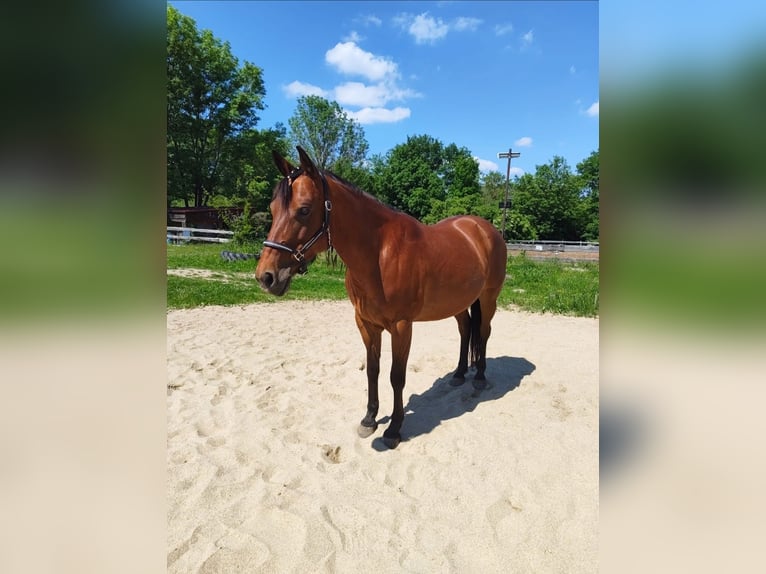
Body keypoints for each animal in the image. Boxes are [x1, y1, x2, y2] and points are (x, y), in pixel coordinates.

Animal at [256, 146, 508, 449]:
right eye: (272, 210)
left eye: (304, 210)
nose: (266, 277)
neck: (379, 254)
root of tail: (484, 229)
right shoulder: (366, 324)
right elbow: (373, 370)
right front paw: (369, 419)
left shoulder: (401, 326)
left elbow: (396, 376)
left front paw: (394, 429)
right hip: (458, 302)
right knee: (466, 329)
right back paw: (459, 375)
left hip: (488, 298)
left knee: (483, 332)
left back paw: (479, 377)